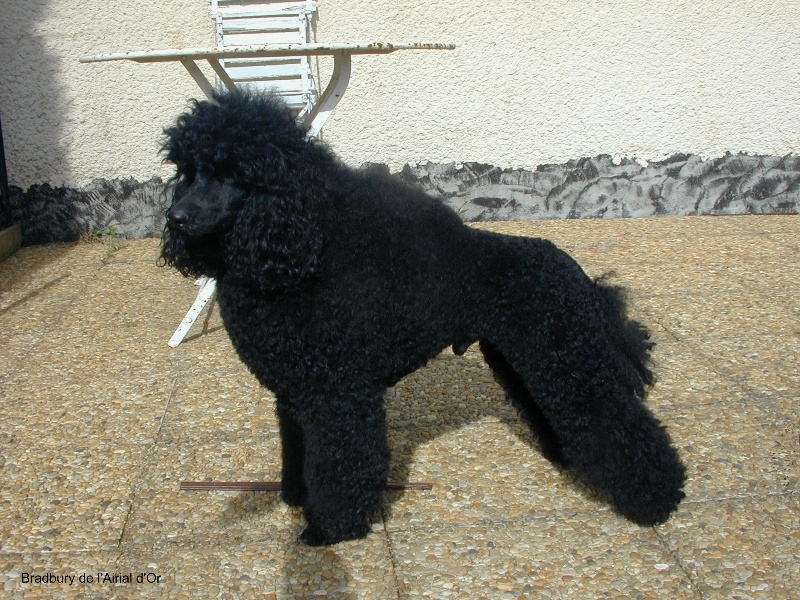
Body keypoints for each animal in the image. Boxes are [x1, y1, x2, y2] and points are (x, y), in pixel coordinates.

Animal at [160, 90, 685, 546]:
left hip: (564, 355)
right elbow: (299, 451)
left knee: (615, 422)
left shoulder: (337, 395)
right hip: (525, 357)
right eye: (188, 171)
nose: (176, 218)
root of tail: (578, 273)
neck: (297, 257)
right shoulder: (294, 394)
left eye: (232, 174)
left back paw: (657, 499)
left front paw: (329, 530)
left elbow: (342, 465)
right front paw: (295, 497)